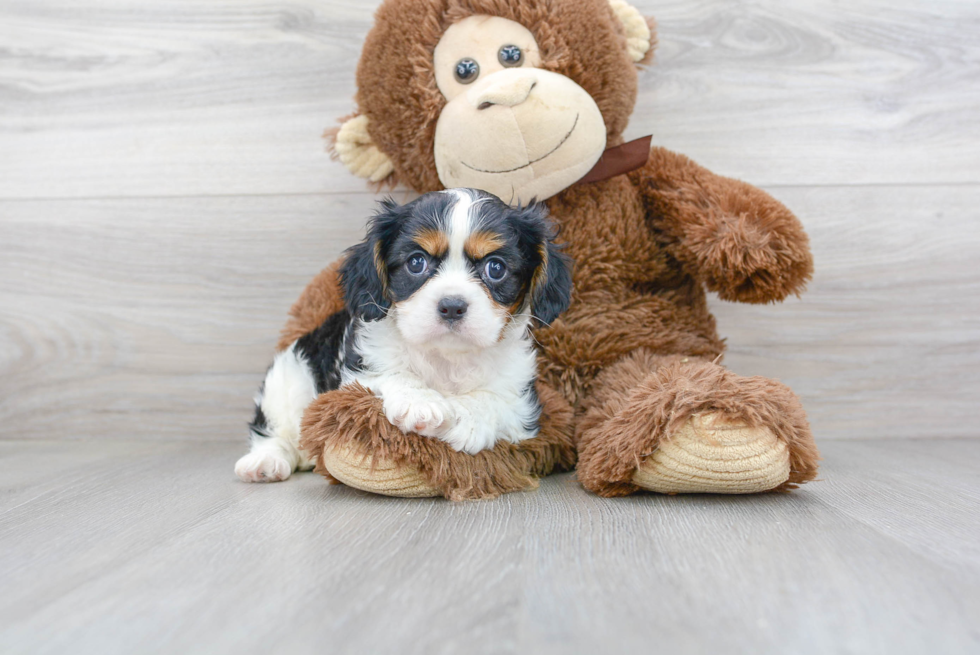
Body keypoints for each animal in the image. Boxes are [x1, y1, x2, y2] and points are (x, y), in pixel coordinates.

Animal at [236, 188, 572, 482]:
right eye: (416, 262)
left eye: (496, 268)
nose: (452, 306)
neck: (447, 357)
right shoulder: (361, 369)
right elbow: (391, 373)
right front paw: (419, 402)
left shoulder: (523, 406)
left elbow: (496, 400)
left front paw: (465, 417)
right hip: (288, 377)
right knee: (274, 428)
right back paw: (266, 461)